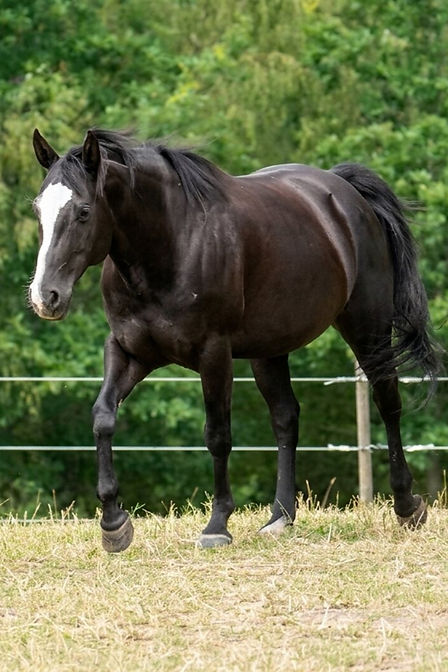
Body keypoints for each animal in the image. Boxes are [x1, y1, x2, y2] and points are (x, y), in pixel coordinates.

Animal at [30, 128, 439, 552]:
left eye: (83, 211)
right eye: (38, 210)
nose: (46, 297)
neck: (171, 243)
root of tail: (345, 192)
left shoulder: (214, 354)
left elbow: (217, 435)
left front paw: (217, 525)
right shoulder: (129, 351)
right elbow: (103, 417)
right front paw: (113, 523)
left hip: (368, 327)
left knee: (387, 402)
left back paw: (407, 505)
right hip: (270, 349)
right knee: (286, 417)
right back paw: (280, 517)